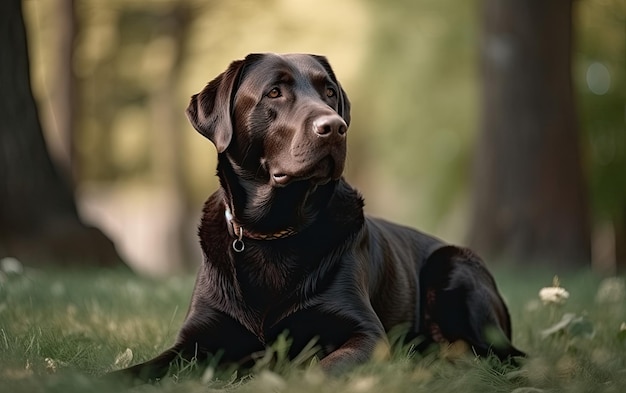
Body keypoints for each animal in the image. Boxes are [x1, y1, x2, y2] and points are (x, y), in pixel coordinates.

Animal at [112, 52, 520, 380]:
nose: (335, 127)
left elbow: (317, 371)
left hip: (453, 266)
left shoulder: (367, 335)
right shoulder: (194, 341)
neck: (273, 230)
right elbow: (137, 370)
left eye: (330, 93)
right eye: (274, 92)